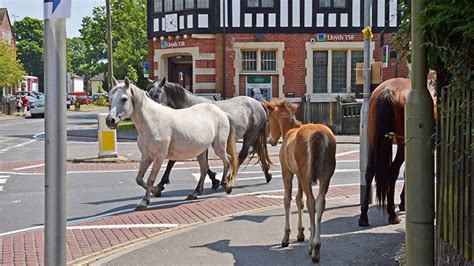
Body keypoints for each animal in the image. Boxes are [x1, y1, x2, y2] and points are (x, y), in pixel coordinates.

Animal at [104, 77, 237, 210]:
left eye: (124, 98)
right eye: (109, 98)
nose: (110, 121)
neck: (153, 121)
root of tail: (222, 113)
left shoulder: (159, 157)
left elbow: (151, 179)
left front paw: (145, 201)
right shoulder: (146, 156)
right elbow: (139, 179)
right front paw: (156, 191)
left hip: (218, 146)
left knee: (227, 160)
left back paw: (226, 185)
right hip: (201, 151)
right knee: (204, 168)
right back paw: (195, 193)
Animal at [358, 75, 436, 227]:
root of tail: (388, 91)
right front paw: (403, 202)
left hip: (372, 139)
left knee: (370, 171)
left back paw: (364, 216)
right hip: (402, 142)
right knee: (393, 170)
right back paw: (392, 214)